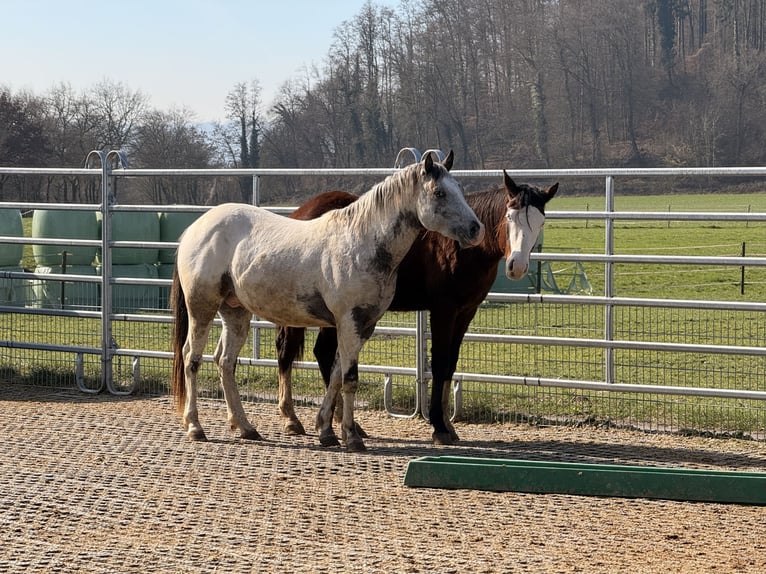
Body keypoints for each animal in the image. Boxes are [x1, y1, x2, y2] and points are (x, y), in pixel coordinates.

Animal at [170, 150, 485, 452]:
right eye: (439, 193)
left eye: (458, 188)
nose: (476, 229)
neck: (361, 243)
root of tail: (195, 229)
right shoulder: (348, 322)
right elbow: (349, 378)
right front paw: (352, 436)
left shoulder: (363, 326)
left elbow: (336, 374)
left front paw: (327, 431)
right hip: (202, 308)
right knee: (191, 358)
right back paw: (195, 427)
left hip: (235, 312)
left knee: (225, 361)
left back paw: (245, 427)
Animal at [275, 171, 558, 445]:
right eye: (510, 216)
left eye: (541, 222)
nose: (516, 266)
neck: (460, 246)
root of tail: (300, 213)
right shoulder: (444, 310)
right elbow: (440, 363)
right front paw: (439, 426)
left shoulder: (466, 311)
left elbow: (451, 363)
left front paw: (448, 425)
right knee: (289, 353)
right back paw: (292, 418)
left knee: (323, 354)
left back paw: (341, 423)